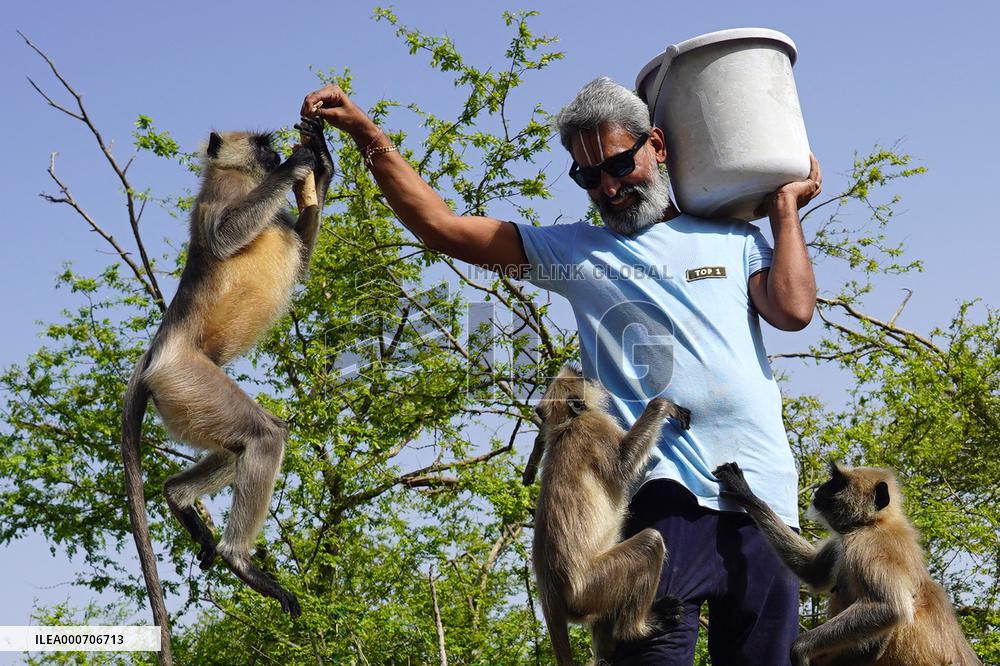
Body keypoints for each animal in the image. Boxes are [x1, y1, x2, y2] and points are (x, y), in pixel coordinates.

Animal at [120, 116, 334, 659]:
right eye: (261, 144)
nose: (275, 152)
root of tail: (157, 351)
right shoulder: (220, 197)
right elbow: (221, 238)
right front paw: (298, 163)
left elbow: (302, 257)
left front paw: (323, 160)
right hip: (186, 377)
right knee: (264, 436)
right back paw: (240, 560)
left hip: (187, 393)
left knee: (249, 441)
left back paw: (178, 497)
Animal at [532, 364, 690, 665]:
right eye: (581, 376)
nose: (578, 367)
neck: (566, 426)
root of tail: (550, 591)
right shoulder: (595, 426)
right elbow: (623, 467)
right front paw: (661, 406)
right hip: (592, 586)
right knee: (651, 543)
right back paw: (638, 628)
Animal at [713, 460, 981, 666]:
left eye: (838, 483)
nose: (822, 487)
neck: (874, 523)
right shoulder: (842, 541)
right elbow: (813, 573)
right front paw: (749, 497)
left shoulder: (866, 546)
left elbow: (892, 607)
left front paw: (799, 649)